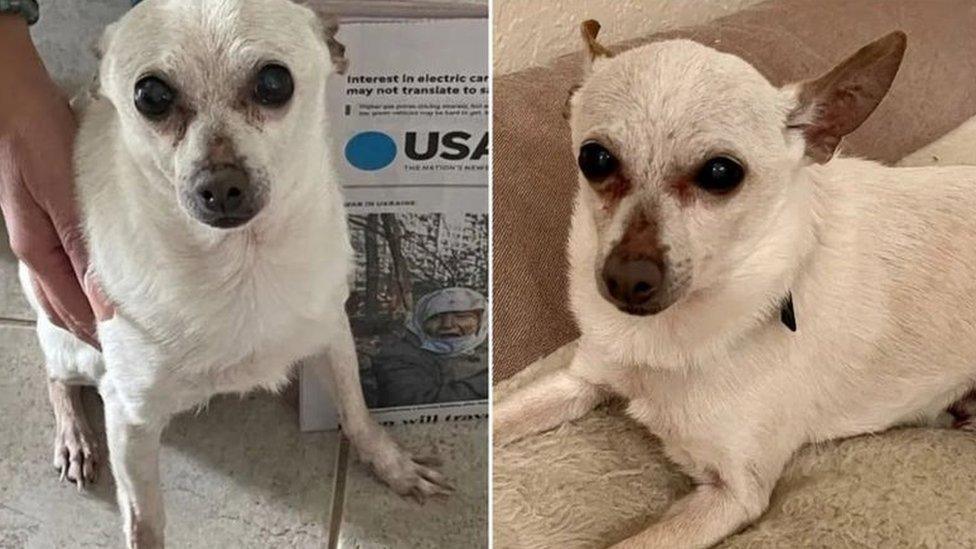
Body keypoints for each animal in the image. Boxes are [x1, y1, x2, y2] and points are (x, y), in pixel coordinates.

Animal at [19, 2, 452, 544]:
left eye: (274, 82)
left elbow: (356, 412)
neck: (243, 263)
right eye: (151, 96)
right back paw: (74, 436)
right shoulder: (129, 419)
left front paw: (392, 466)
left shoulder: (333, 332)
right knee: (54, 375)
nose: (221, 184)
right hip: (72, 343)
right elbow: (145, 521)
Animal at [500, 21, 976, 548]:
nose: (626, 278)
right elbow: (498, 415)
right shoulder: (581, 381)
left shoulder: (734, 495)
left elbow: (636, 543)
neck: (671, 339)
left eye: (721, 173)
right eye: (594, 159)